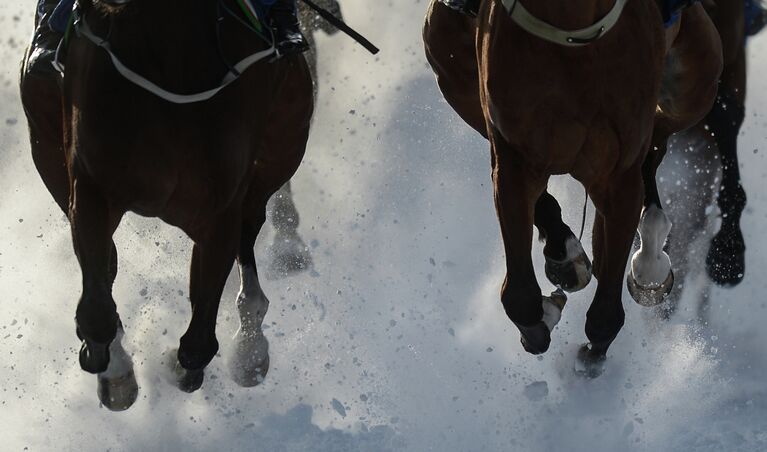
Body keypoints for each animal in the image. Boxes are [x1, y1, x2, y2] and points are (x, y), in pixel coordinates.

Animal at [21, 0, 316, 410]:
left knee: (251, 228)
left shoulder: (221, 209)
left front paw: (184, 365)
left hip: (280, 146)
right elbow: (97, 308)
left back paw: (251, 346)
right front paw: (116, 374)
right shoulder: (90, 187)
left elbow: (198, 343)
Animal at [424, 0, 724, 372]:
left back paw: (649, 259)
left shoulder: (618, 174)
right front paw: (549, 303)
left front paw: (592, 357)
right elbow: (520, 294)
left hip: (695, 85)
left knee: (658, 142)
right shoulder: (511, 152)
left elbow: (607, 307)